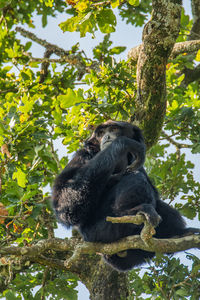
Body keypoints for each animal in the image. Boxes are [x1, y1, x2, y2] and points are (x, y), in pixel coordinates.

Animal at [52, 120, 200, 272]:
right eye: (101, 133)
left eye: (113, 129)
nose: (107, 137)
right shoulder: (82, 155)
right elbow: (66, 207)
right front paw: (124, 143)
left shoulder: (136, 163)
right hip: (99, 231)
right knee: (134, 177)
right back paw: (133, 212)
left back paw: (179, 233)